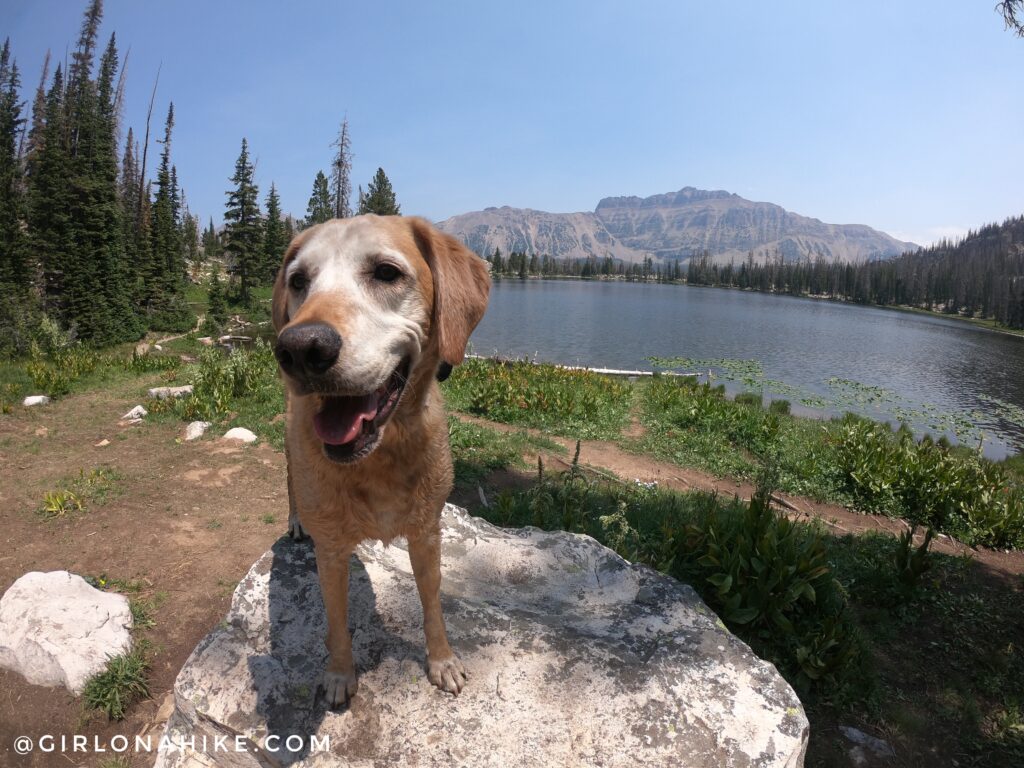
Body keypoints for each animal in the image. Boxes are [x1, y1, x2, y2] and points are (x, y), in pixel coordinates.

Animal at [272, 214, 491, 708]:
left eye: (387, 273)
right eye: (299, 281)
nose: (300, 348)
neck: (379, 459)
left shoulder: (427, 533)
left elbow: (432, 605)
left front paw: (442, 660)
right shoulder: (331, 552)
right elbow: (336, 623)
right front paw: (339, 674)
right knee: (291, 483)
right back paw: (295, 520)